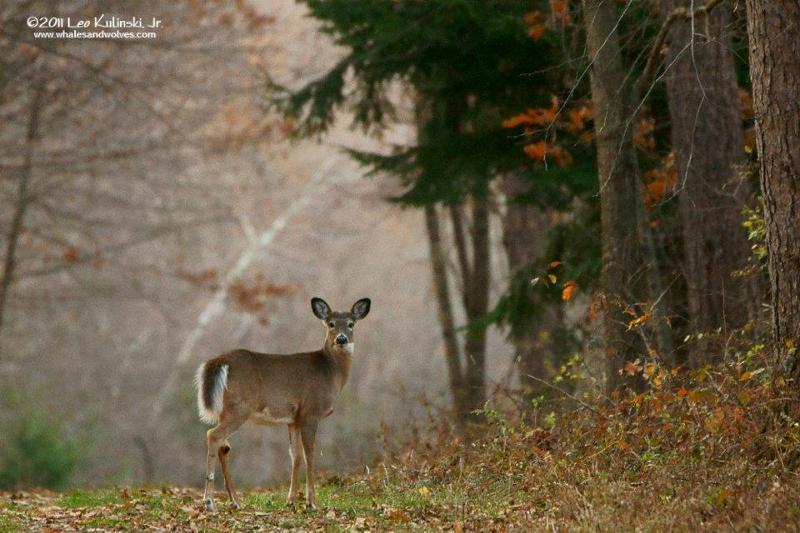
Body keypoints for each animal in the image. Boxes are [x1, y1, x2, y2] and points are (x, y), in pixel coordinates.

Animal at [195, 297, 371, 511]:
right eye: (331, 324)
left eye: (351, 324)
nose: (341, 339)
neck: (331, 372)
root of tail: (220, 361)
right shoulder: (310, 411)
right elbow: (310, 454)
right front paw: (312, 502)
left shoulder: (293, 419)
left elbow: (295, 455)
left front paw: (291, 501)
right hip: (239, 407)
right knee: (213, 435)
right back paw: (209, 502)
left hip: (226, 410)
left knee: (224, 445)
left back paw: (235, 501)